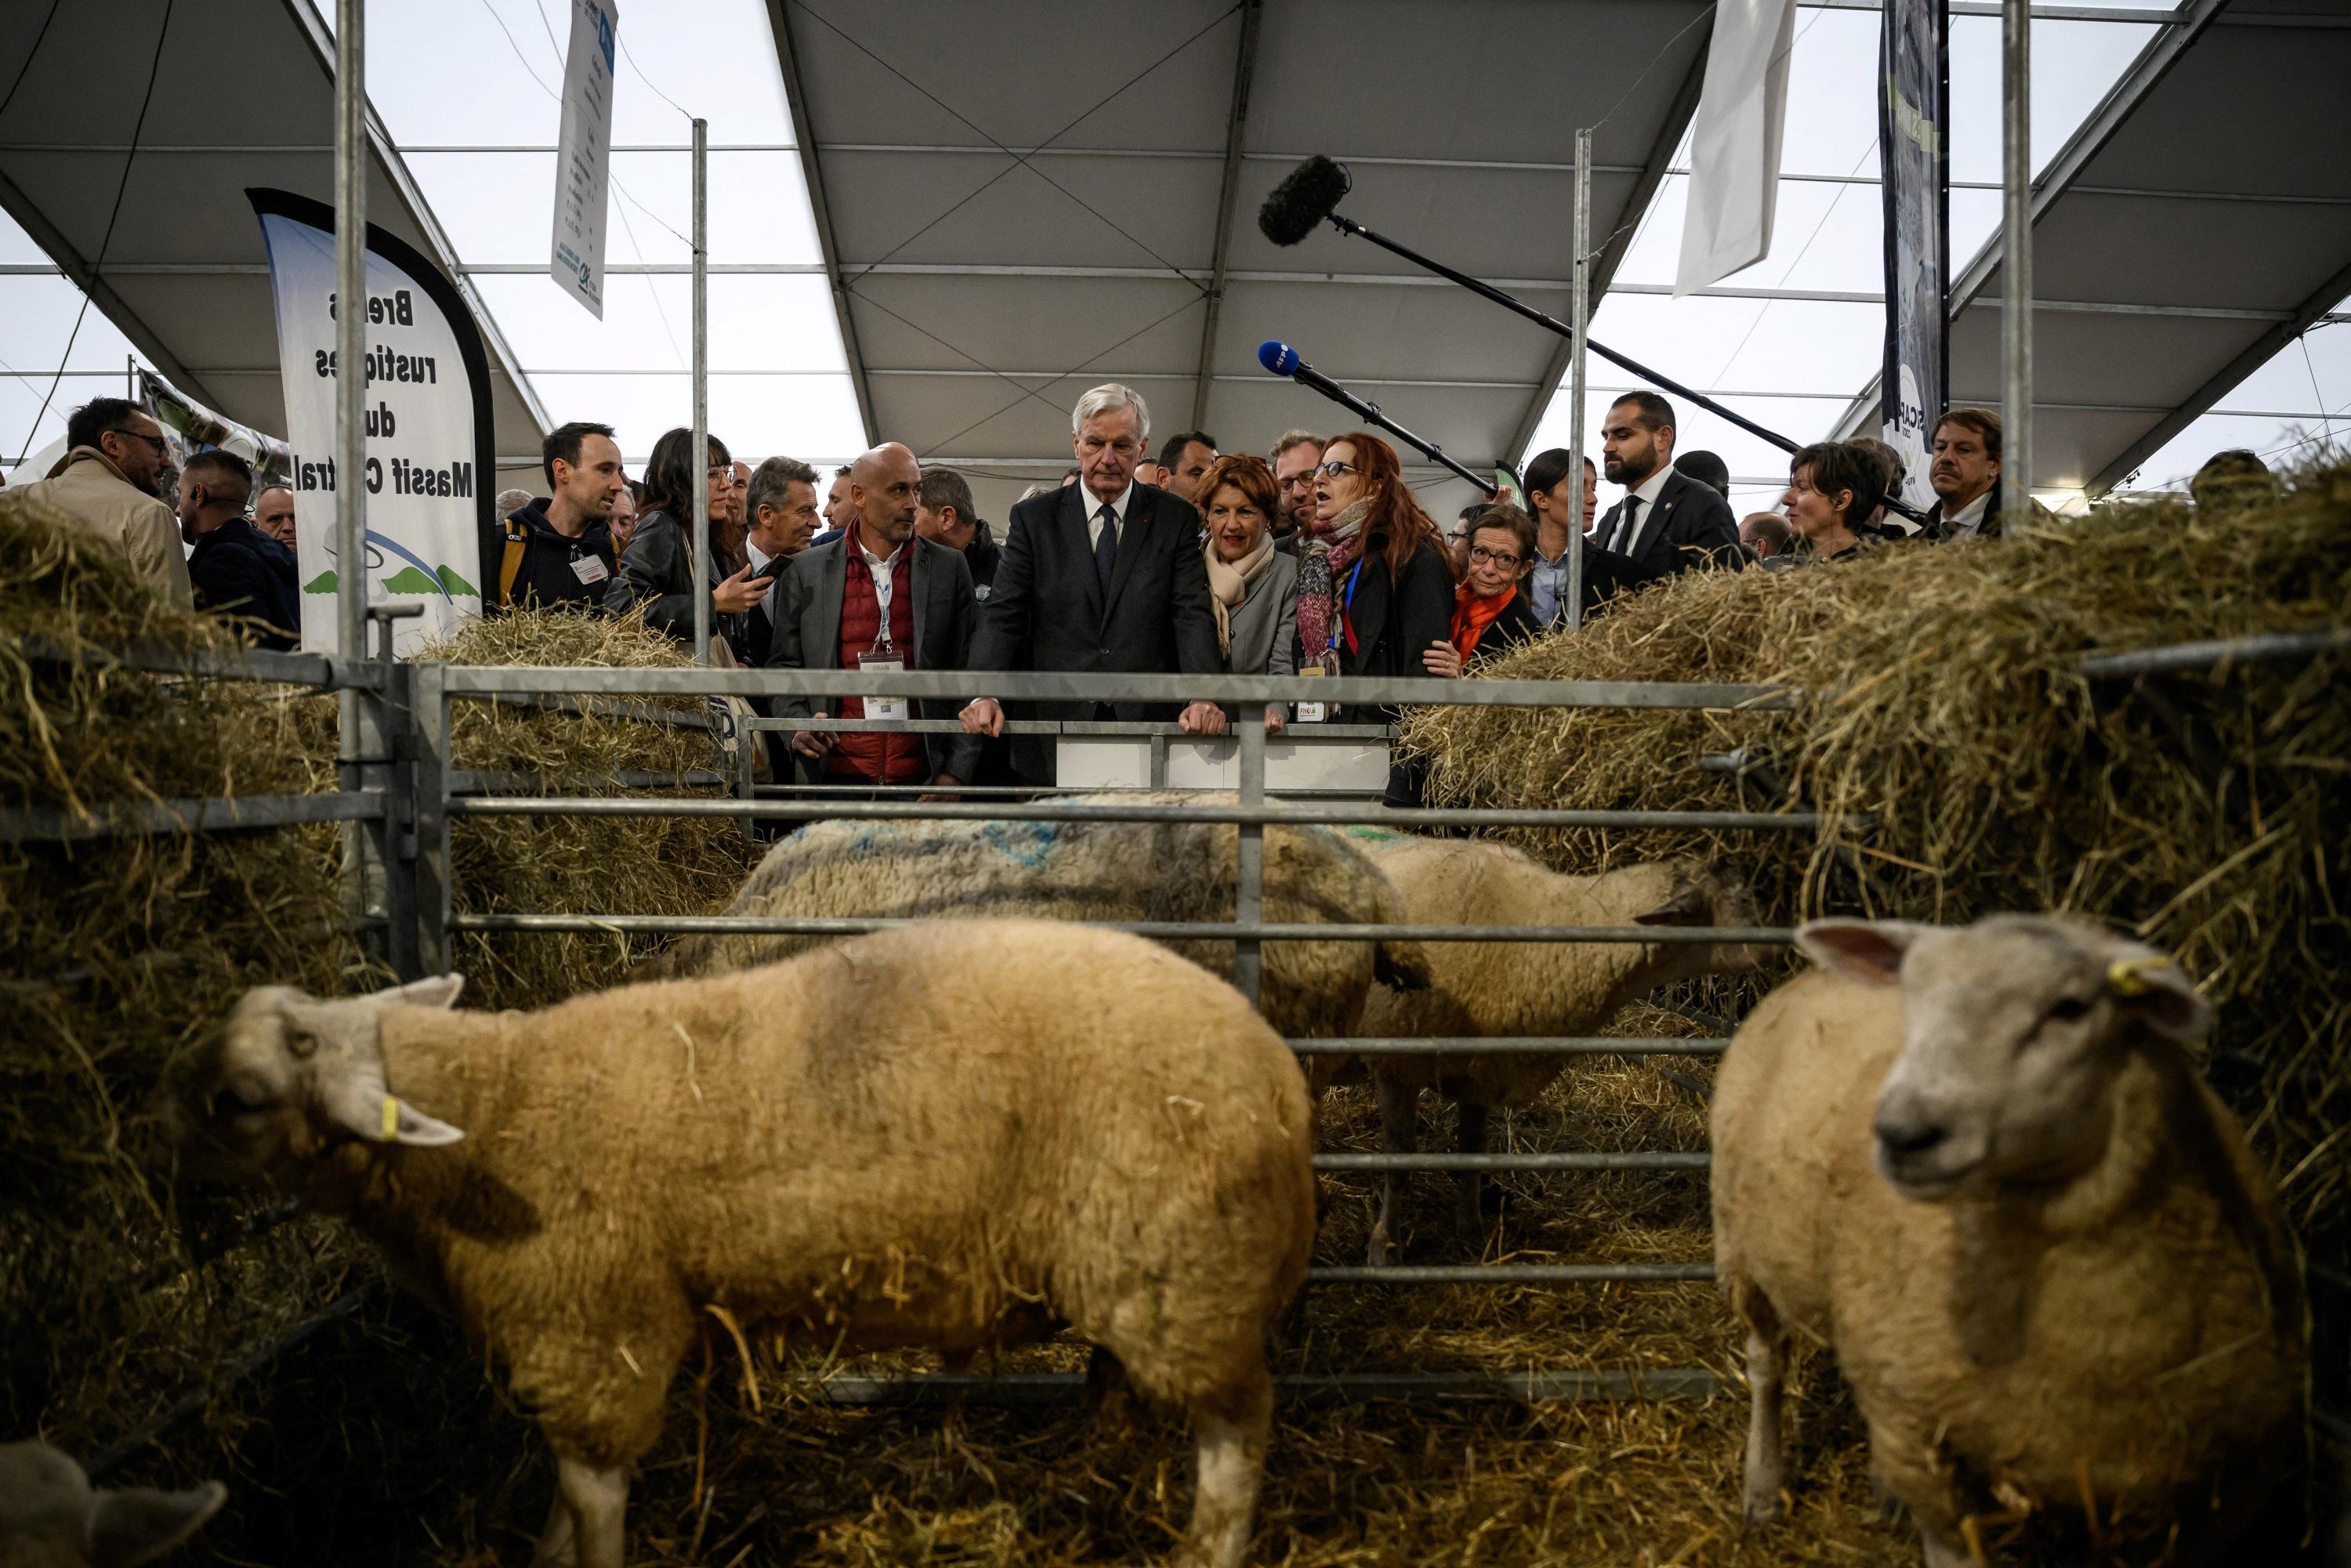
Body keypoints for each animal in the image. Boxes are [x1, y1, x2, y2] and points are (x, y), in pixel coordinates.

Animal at [179, 926, 1326, 1568]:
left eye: (245, 1097)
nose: (167, 1114)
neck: (501, 1109)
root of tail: (1281, 1077)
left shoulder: (599, 1331)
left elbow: (593, 1501)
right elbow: (559, 1496)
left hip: (1189, 1277)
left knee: (1239, 1436)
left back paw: (1206, 1551)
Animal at [1345, 832, 1768, 1260]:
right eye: (1742, 900)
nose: (1775, 947)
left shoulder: (1479, 1071)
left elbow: (1472, 1150)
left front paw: (1471, 1228)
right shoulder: (1393, 1066)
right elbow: (1399, 1162)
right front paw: (1385, 1246)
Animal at [1721, 912, 2304, 1561]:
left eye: (2071, 1007)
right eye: (1911, 992)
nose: (1902, 1133)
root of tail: (1809, 977)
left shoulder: (2226, 1488)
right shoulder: (1927, 1449)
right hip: (1739, 1249)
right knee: (1766, 1364)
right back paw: (1764, 1487)